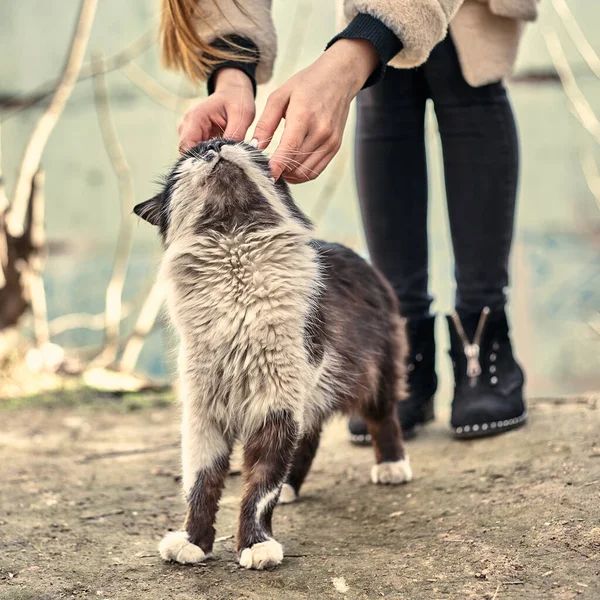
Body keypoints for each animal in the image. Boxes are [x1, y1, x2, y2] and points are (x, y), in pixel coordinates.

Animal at [133, 139, 410, 572]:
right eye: (191, 157)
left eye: (237, 142)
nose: (214, 145)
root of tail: (357, 255)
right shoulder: (205, 415)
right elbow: (201, 484)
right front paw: (194, 542)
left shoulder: (275, 406)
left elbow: (260, 489)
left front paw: (255, 546)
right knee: (309, 440)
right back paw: (294, 488)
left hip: (373, 376)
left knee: (384, 419)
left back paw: (392, 466)